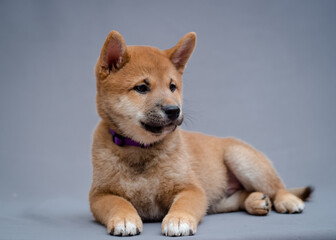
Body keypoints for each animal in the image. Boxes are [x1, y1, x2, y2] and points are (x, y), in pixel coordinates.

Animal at [89, 31, 312, 237]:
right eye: (142, 88)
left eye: (172, 87)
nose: (174, 110)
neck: (141, 149)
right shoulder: (99, 195)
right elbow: (117, 202)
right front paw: (124, 218)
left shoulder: (191, 188)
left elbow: (184, 204)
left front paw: (178, 220)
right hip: (218, 200)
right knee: (241, 195)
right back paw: (256, 200)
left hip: (241, 159)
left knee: (277, 187)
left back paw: (287, 200)